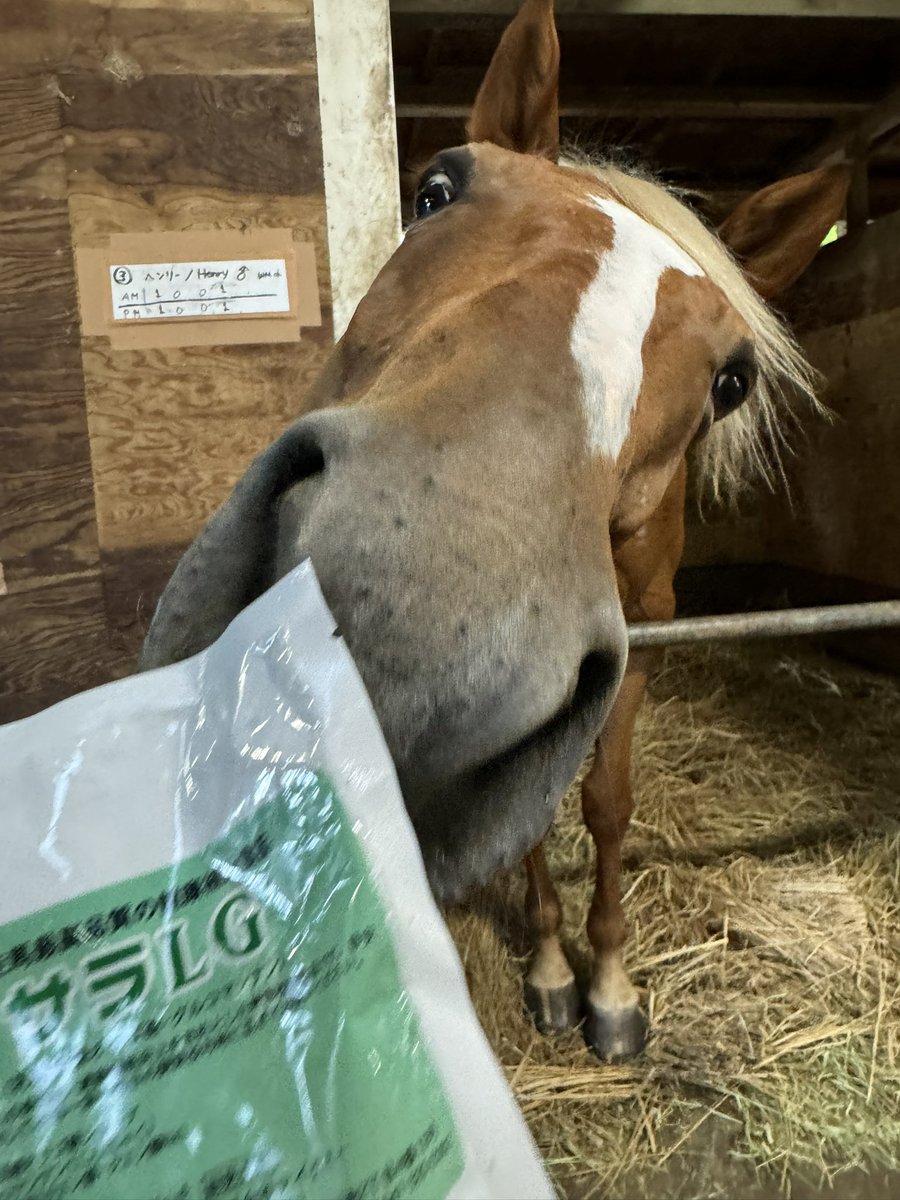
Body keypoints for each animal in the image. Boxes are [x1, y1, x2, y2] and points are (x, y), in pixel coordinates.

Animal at [141, 0, 849, 1062]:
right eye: (436, 191)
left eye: (733, 379)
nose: (398, 639)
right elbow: (538, 823)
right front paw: (554, 970)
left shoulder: (646, 635)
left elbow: (605, 803)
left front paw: (609, 986)